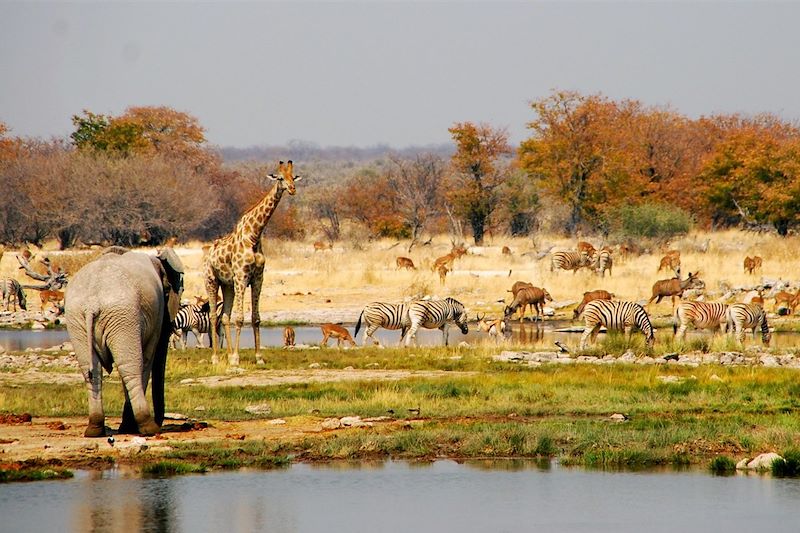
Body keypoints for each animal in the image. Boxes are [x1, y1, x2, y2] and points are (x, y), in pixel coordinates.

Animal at [65, 245, 184, 436]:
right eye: (168, 291)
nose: (160, 423)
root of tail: (92, 303)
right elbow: (147, 359)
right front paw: (130, 427)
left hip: (77, 318)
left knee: (91, 370)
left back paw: (94, 430)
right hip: (122, 314)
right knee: (131, 367)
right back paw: (147, 428)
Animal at [205, 160, 302, 364]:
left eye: (293, 176)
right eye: (280, 178)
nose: (292, 189)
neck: (254, 236)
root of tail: (209, 252)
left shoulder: (258, 278)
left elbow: (256, 318)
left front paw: (258, 357)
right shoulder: (242, 277)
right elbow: (240, 318)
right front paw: (236, 358)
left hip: (228, 285)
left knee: (224, 316)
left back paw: (227, 354)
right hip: (211, 281)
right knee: (213, 316)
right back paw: (216, 358)